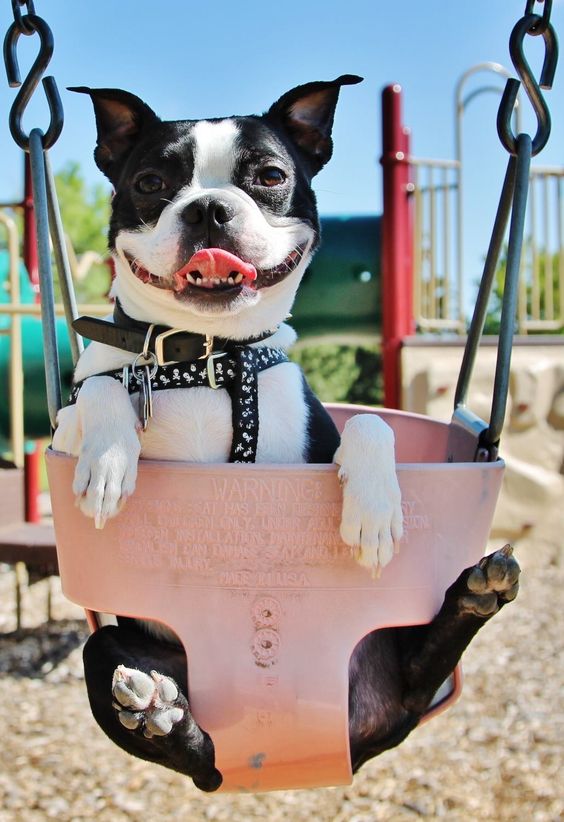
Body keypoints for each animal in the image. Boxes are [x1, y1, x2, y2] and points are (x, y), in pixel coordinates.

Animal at [53, 77, 520, 792]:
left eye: (270, 176)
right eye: (152, 182)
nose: (209, 210)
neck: (209, 354)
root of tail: (354, 737)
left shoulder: (317, 424)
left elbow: (371, 421)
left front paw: (375, 511)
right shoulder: (65, 422)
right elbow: (100, 389)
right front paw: (108, 461)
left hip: (400, 662)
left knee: (419, 675)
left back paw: (477, 594)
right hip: (115, 651)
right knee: (196, 754)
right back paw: (160, 713)